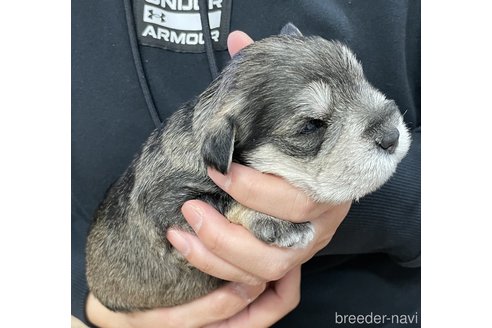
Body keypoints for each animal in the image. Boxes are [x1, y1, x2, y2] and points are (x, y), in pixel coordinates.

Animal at [85, 23, 412, 312]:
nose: (392, 135)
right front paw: (277, 223)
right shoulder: (168, 208)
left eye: (360, 80)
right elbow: (224, 202)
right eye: (311, 126)